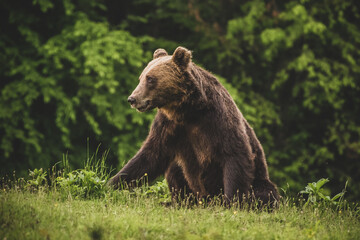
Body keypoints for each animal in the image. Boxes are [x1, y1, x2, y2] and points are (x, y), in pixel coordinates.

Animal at [108, 46, 280, 205]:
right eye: (141, 77)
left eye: (150, 79)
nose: (132, 99)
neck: (188, 111)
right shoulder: (169, 125)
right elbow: (150, 155)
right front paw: (111, 185)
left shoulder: (218, 120)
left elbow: (235, 154)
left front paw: (231, 202)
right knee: (175, 169)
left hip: (259, 180)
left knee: (265, 191)